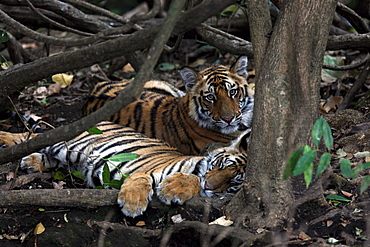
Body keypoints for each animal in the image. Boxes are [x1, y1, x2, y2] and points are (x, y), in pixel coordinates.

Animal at [0, 122, 250, 217]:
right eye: (220, 165)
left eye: (233, 183)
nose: (210, 185)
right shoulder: (147, 169)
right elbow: (140, 180)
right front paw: (132, 205)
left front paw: (173, 189)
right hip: (65, 141)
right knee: (29, 137)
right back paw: (5, 139)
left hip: (70, 156)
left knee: (48, 156)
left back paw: (31, 162)